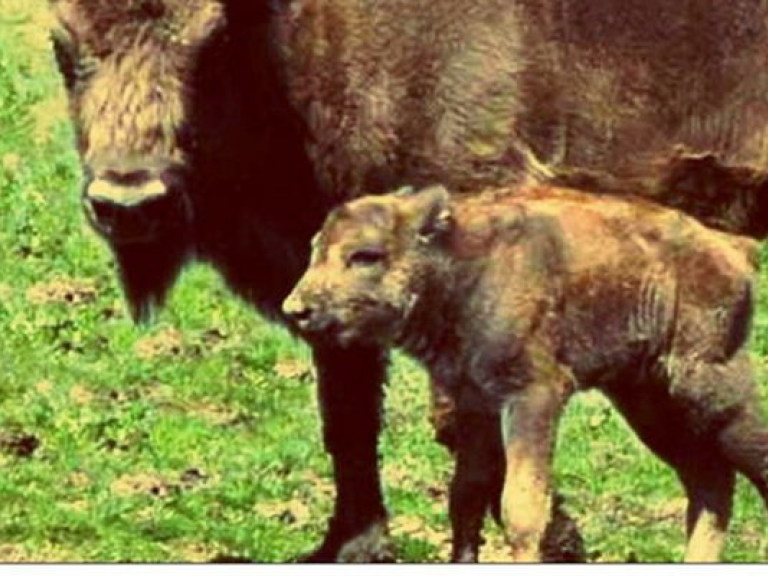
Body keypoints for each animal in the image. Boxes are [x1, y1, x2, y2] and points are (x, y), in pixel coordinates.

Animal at [284, 186, 768, 564]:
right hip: (649, 406)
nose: (296, 309)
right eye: (315, 249)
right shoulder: (475, 402)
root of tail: (733, 252)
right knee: (710, 482)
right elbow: (466, 496)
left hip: (707, 390)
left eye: (365, 255)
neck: (460, 265)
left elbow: (521, 505)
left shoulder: (533, 395)